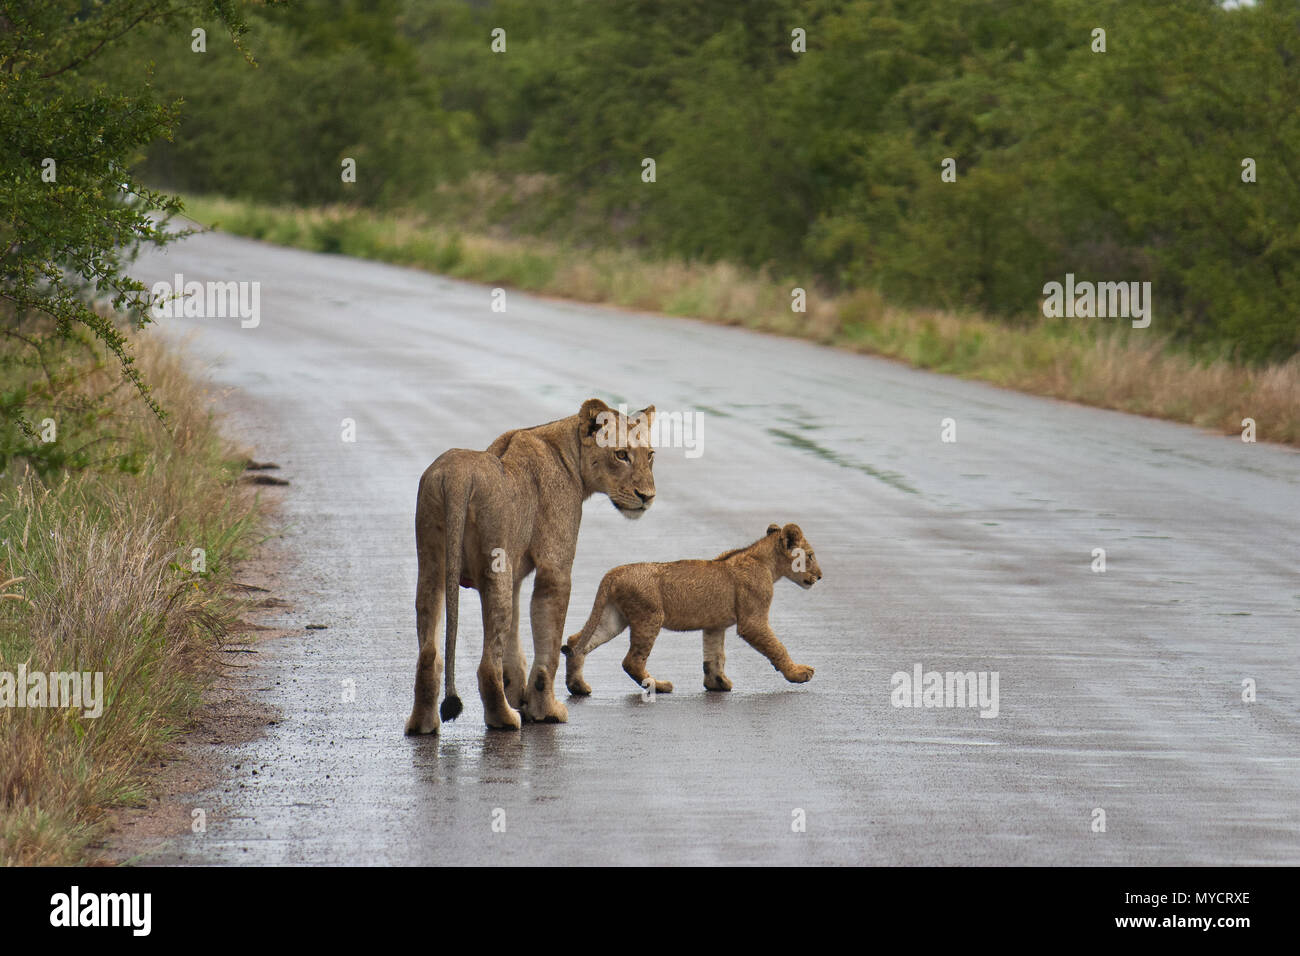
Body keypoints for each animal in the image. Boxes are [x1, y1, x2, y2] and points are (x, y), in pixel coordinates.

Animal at [405, 398, 657, 734]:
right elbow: (548, 647)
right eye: (620, 454)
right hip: (494, 566)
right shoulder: (555, 567)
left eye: (650, 455)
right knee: (487, 664)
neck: (568, 452)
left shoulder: (514, 576)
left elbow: (514, 648)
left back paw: (423, 724)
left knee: (429, 653)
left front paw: (521, 699)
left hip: (432, 564)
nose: (647, 496)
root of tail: (456, 477)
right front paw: (545, 711)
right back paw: (505, 720)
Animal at [561, 522, 821, 696]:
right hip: (650, 616)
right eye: (809, 555)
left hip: (613, 618)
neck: (766, 563)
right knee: (631, 661)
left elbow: (715, 655)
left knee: (576, 643)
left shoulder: (715, 625)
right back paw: (659, 685)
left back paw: (578, 687)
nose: (820, 576)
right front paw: (798, 673)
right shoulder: (752, 621)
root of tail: (613, 573)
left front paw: (717, 683)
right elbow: (777, 647)